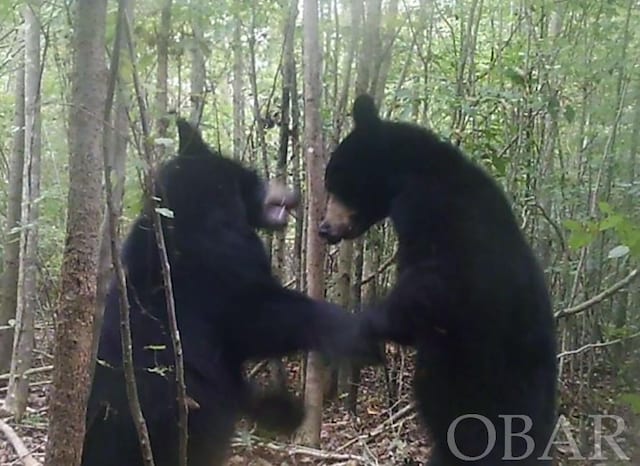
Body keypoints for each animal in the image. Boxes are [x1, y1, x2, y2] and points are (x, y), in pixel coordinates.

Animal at [318, 95, 556, 466]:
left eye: (334, 183)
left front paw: (365, 325)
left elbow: (434, 284)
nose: (324, 228)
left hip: (488, 400)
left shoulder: (432, 210)